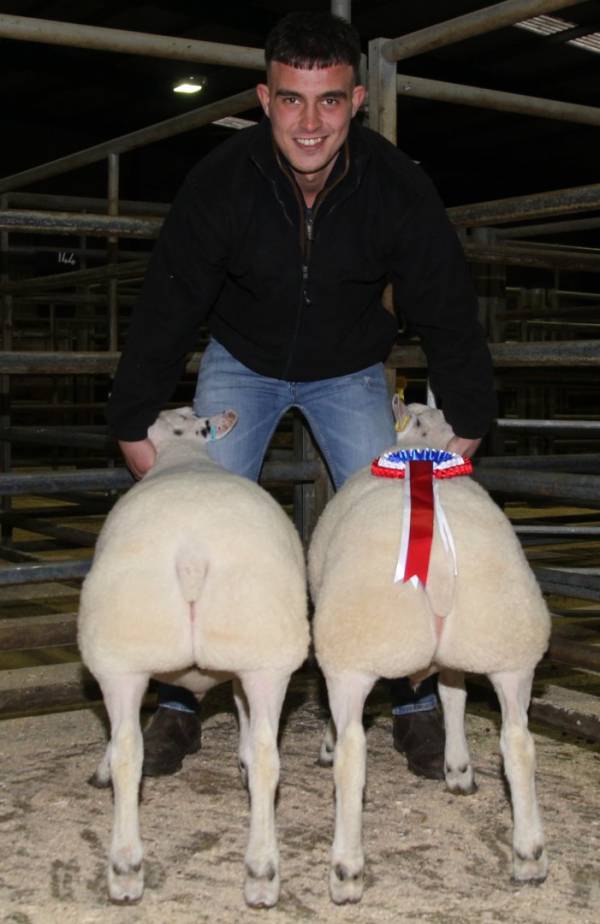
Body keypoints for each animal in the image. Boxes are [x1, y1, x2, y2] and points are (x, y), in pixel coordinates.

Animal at [78, 406, 309, 908]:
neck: (186, 452)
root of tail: (192, 556)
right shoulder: (240, 664)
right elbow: (245, 720)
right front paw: (241, 759)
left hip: (120, 650)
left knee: (129, 749)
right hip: (257, 649)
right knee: (263, 755)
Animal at [309, 397, 550, 904]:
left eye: (419, 417)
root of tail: (438, 564)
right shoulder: (459, 659)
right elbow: (454, 698)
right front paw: (457, 767)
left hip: (352, 649)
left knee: (353, 753)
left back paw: (346, 869)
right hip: (509, 645)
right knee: (519, 744)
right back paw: (530, 855)